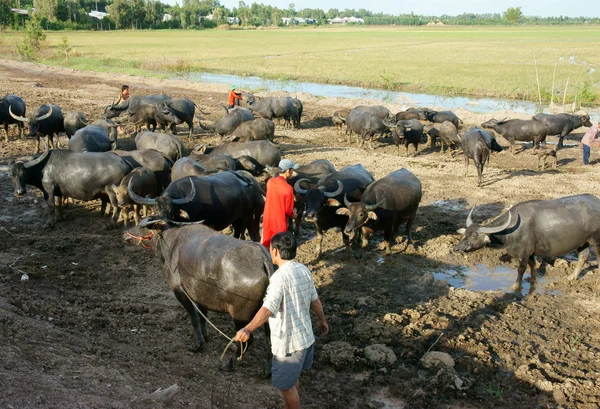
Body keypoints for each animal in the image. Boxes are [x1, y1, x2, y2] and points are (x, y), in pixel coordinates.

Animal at [123, 220, 272, 372]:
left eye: (142, 226)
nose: (124, 233)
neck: (170, 243)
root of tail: (262, 259)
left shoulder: (181, 292)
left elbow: (194, 317)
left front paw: (197, 344)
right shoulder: (200, 295)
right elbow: (202, 316)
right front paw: (205, 336)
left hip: (240, 316)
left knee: (248, 340)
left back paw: (228, 364)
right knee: (270, 339)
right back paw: (267, 370)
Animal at [129, 171, 262, 241]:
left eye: (171, 212)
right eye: (156, 209)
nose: (161, 223)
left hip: (248, 216)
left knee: (253, 234)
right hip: (236, 218)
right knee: (238, 230)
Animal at [454, 194, 600, 294]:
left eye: (474, 236)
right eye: (465, 233)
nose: (457, 248)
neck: (513, 230)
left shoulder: (524, 252)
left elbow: (521, 268)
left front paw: (515, 286)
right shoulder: (531, 252)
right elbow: (532, 264)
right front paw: (533, 280)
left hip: (595, 240)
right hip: (583, 242)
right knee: (583, 256)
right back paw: (571, 277)